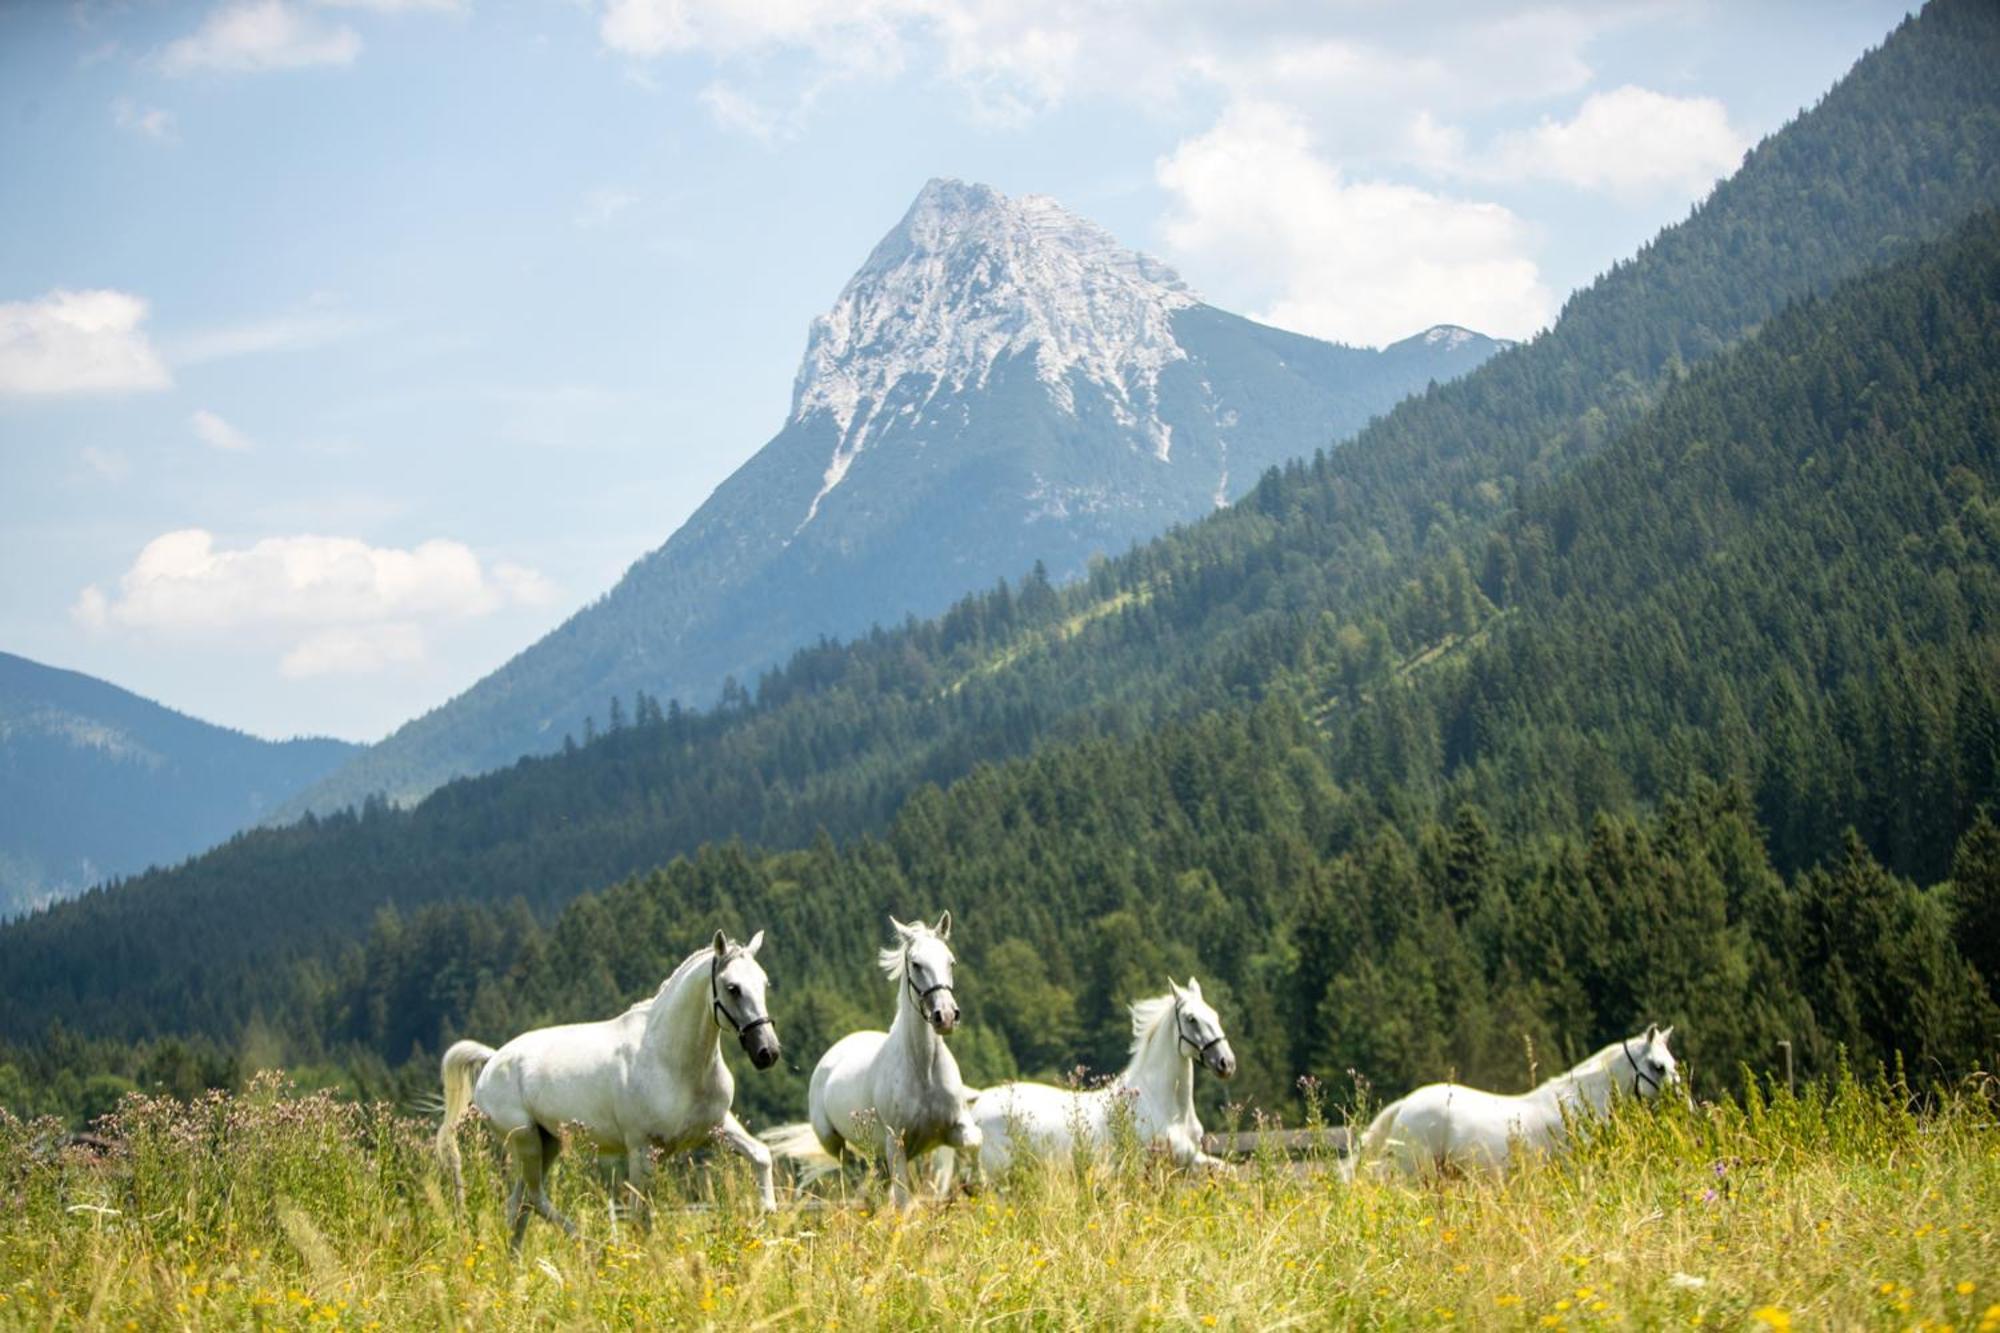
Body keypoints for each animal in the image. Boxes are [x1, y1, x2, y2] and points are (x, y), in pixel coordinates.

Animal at [442, 928, 784, 1240]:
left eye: (764, 983)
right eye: (732, 988)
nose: (767, 1052)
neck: (672, 1060)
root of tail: (492, 1060)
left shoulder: (716, 1127)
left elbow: (761, 1156)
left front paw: (767, 1220)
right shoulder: (642, 1149)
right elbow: (640, 1218)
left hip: (547, 1141)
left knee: (519, 1206)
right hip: (525, 1140)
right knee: (535, 1199)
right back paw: (592, 1246)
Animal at [760, 912, 980, 1200]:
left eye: (950, 961)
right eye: (916, 964)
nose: (945, 1016)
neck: (924, 1072)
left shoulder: (956, 1128)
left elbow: (973, 1146)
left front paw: (970, 1185)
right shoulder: (896, 1146)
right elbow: (903, 1201)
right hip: (835, 1142)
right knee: (851, 1171)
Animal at [964, 972, 1232, 1168]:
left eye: (1215, 1014)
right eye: (1191, 1019)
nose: (1226, 1063)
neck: (1163, 1105)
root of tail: (976, 1103)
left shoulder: (1190, 1161)